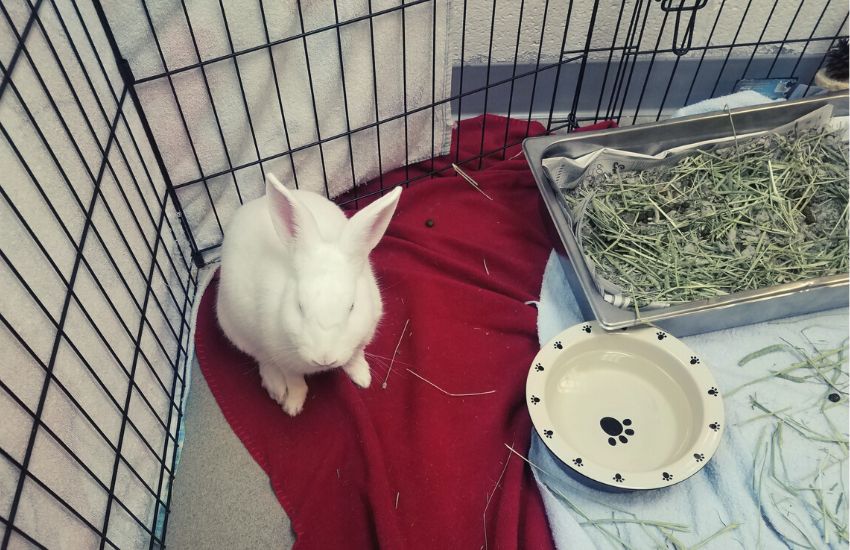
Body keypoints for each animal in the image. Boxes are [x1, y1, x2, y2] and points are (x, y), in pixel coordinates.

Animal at [215, 175, 400, 416]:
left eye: (352, 307)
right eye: (300, 306)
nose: (324, 358)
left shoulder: (363, 336)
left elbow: (355, 356)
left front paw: (363, 377)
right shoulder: (281, 354)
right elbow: (294, 380)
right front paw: (293, 406)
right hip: (237, 329)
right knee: (262, 359)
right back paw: (276, 388)